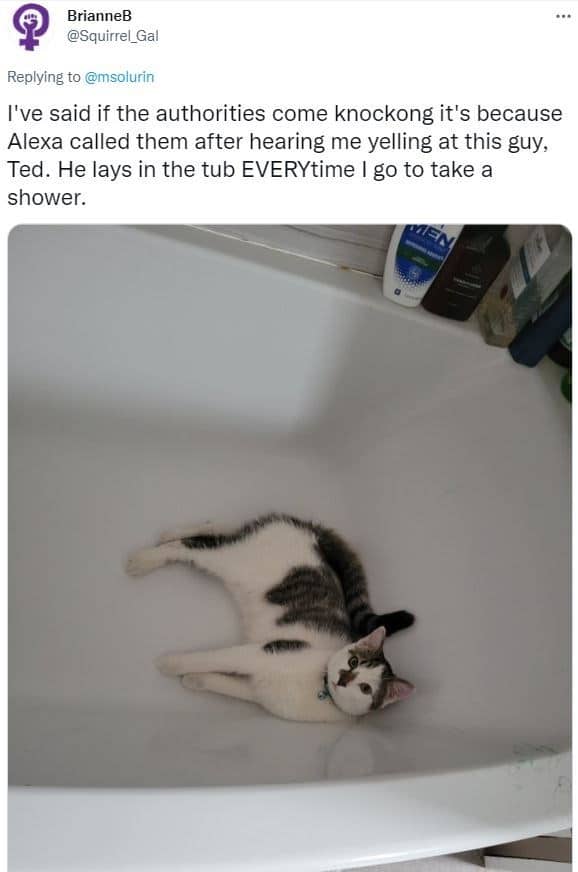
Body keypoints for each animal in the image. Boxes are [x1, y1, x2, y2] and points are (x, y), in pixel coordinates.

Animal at [126, 514, 415, 722]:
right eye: (353, 661)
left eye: (366, 688)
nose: (343, 677)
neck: (319, 686)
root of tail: (314, 532)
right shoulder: (263, 652)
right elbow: (213, 657)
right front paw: (169, 663)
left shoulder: (257, 693)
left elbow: (224, 682)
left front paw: (194, 680)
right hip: (234, 560)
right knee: (194, 547)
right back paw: (145, 558)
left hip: (241, 548)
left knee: (225, 532)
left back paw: (178, 532)